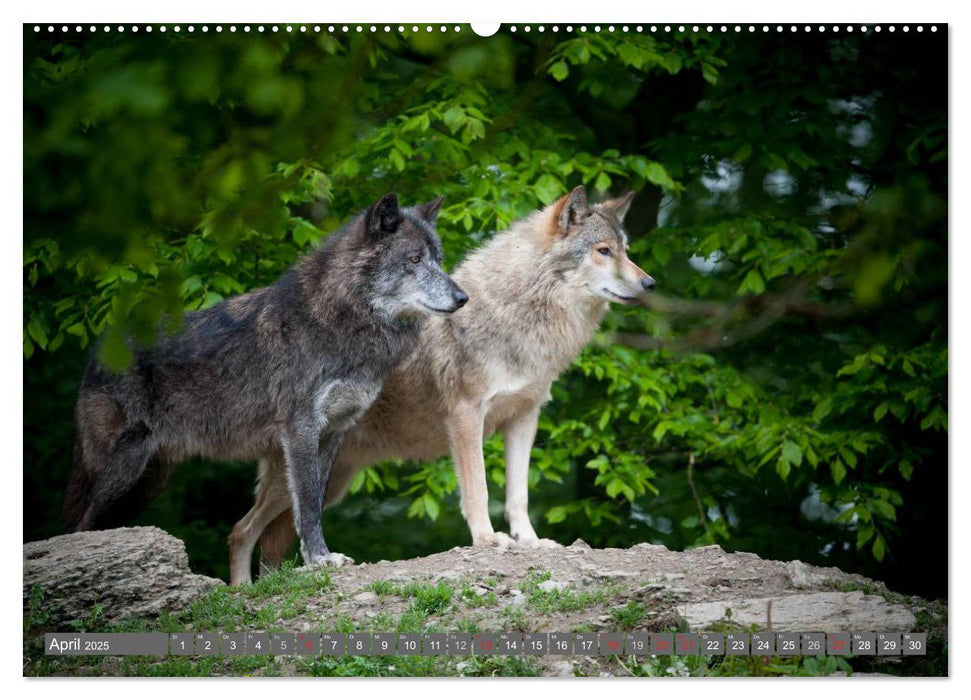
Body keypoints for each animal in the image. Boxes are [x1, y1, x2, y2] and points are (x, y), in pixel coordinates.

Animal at [64, 193, 468, 576]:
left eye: (438, 259)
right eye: (414, 259)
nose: (462, 297)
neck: (344, 319)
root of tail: (97, 353)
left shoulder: (334, 432)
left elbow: (315, 499)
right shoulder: (301, 427)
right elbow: (308, 502)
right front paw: (319, 559)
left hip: (149, 482)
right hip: (123, 473)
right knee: (79, 526)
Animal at [235, 185, 656, 580]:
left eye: (626, 250)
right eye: (603, 251)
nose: (650, 283)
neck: (524, 312)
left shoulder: (525, 418)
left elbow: (518, 494)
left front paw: (531, 541)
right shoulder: (467, 416)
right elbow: (479, 489)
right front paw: (488, 539)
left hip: (330, 483)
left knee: (268, 538)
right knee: (242, 530)